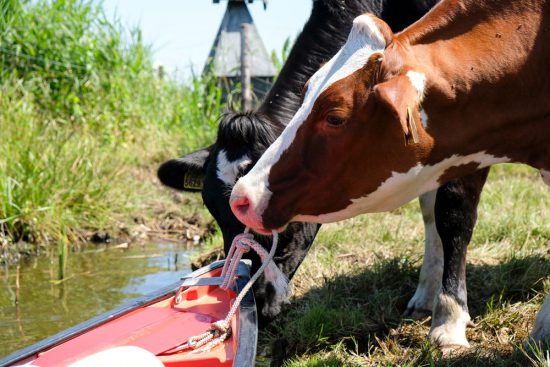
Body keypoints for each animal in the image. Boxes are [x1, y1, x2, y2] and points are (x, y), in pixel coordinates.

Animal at [157, 0, 486, 340]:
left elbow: (452, 213)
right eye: (217, 215)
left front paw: (449, 318)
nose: (256, 303)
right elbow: (430, 210)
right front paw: (425, 296)